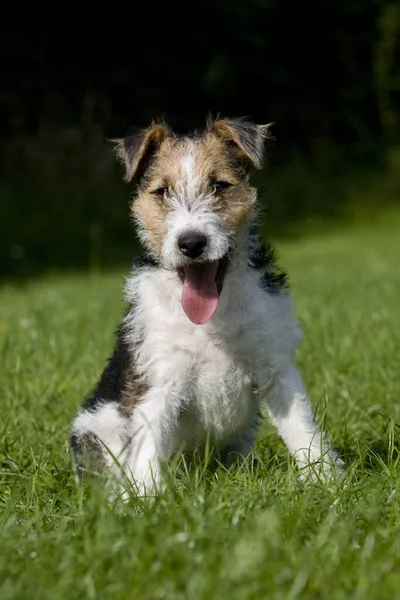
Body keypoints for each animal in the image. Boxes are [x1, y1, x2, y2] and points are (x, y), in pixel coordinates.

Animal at [70, 115, 342, 494]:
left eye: (220, 185)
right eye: (162, 192)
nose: (191, 243)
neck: (213, 318)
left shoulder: (275, 367)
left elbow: (302, 427)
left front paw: (326, 481)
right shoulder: (158, 382)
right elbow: (148, 449)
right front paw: (148, 500)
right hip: (96, 428)